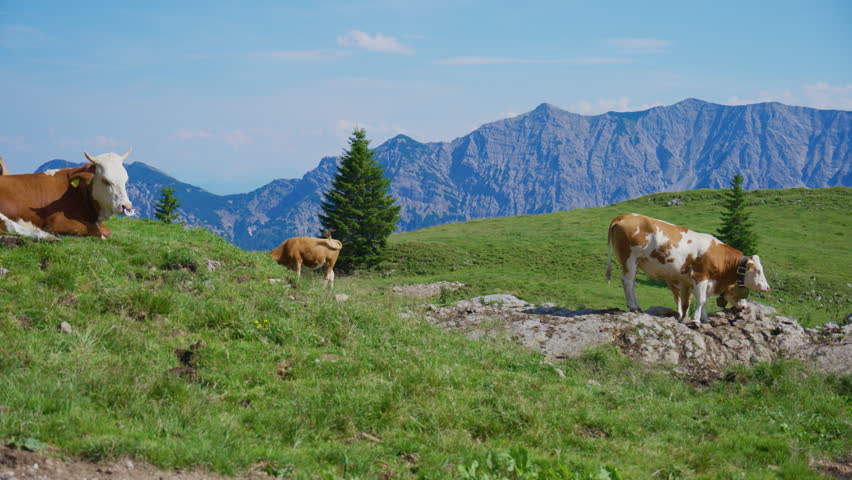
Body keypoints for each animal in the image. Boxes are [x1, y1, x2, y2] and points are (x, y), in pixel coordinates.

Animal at [0, 150, 135, 241]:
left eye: (126, 180)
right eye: (105, 181)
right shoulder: (56, 221)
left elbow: (107, 231)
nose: (127, 207)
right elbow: (97, 231)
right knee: (10, 225)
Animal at [606, 213, 770, 323]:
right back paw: (633, 306)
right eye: (758, 271)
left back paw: (637, 307)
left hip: (634, 262)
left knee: (632, 282)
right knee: (627, 280)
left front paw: (701, 318)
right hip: (629, 258)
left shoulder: (689, 281)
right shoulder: (700, 276)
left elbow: (691, 302)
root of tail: (625, 215)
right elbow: (701, 300)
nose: (767, 287)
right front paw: (696, 320)